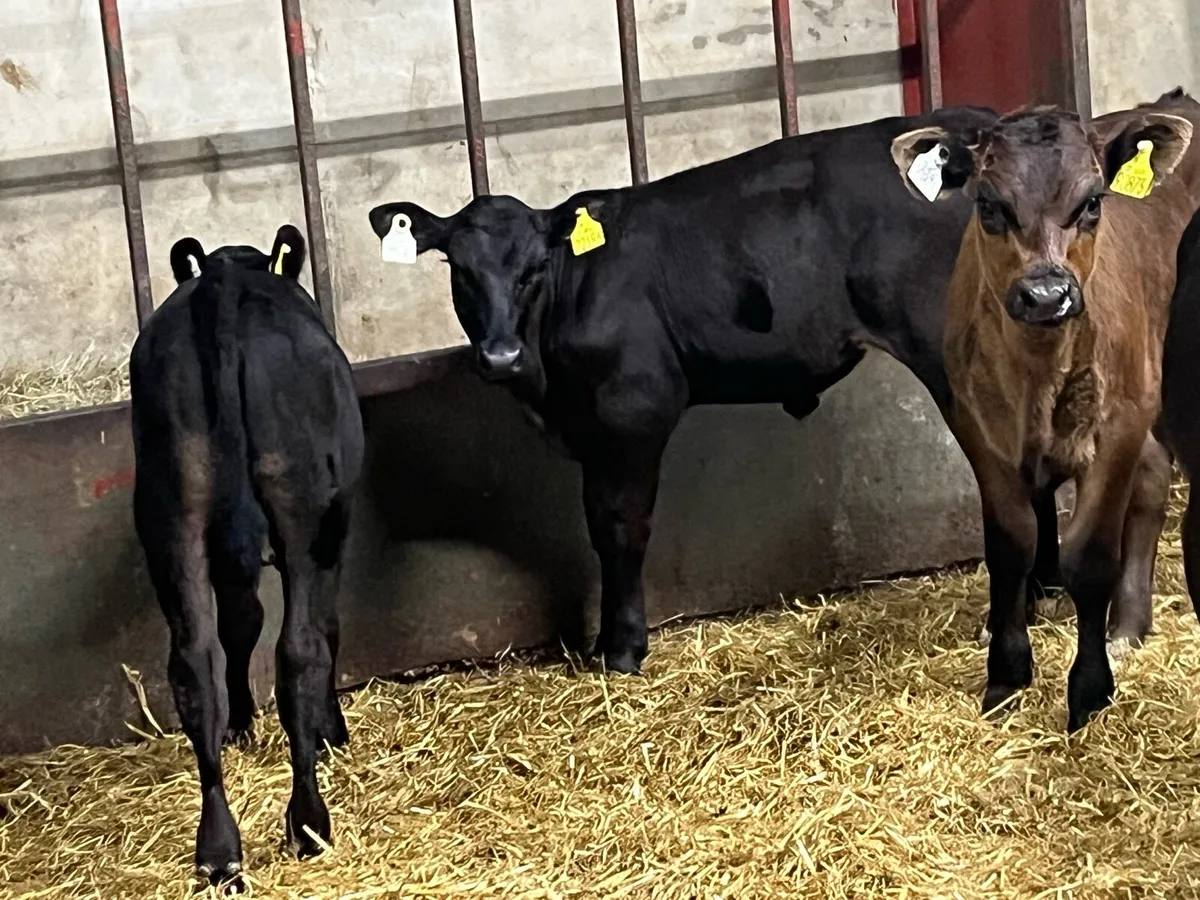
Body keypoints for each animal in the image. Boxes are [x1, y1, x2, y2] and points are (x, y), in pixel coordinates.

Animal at [130, 225, 364, 884]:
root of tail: (224, 281)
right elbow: (326, 627)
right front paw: (331, 729)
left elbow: (240, 625)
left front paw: (240, 723)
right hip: (305, 507)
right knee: (300, 650)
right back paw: (309, 822)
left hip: (170, 512)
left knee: (195, 663)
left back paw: (217, 849)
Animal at [366, 105, 1089, 678]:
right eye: (458, 270)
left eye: (534, 269)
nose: (499, 355)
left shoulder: (633, 411)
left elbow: (618, 526)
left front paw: (621, 649)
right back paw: (1044, 588)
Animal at [888, 90, 1200, 731]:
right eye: (988, 205)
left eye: (1093, 202)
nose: (1045, 296)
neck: (1037, 372)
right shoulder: (976, 429)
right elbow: (1012, 547)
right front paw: (1005, 677)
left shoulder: (1119, 422)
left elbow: (1089, 556)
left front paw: (1088, 691)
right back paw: (1129, 623)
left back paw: (1124, 627)